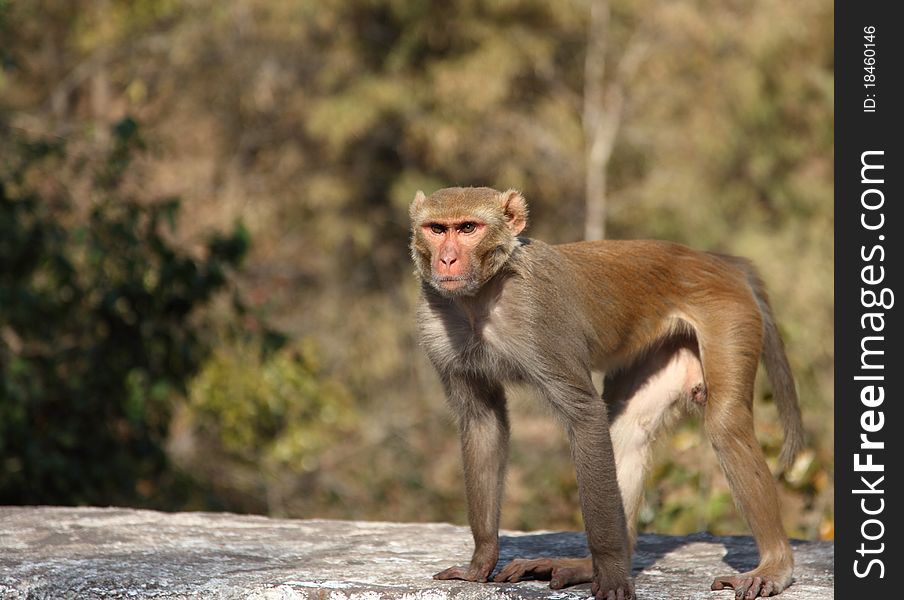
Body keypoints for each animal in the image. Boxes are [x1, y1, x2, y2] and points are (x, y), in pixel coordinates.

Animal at [410, 188, 804, 600]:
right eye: (437, 229)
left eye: (468, 228)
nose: (447, 258)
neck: (480, 297)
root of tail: (718, 260)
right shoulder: (437, 326)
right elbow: (483, 421)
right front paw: (481, 562)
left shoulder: (540, 320)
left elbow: (585, 415)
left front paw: (612, 575)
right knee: (630, 428)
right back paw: (588, 565)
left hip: (730, 314)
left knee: (726, 425)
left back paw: (774, 565)